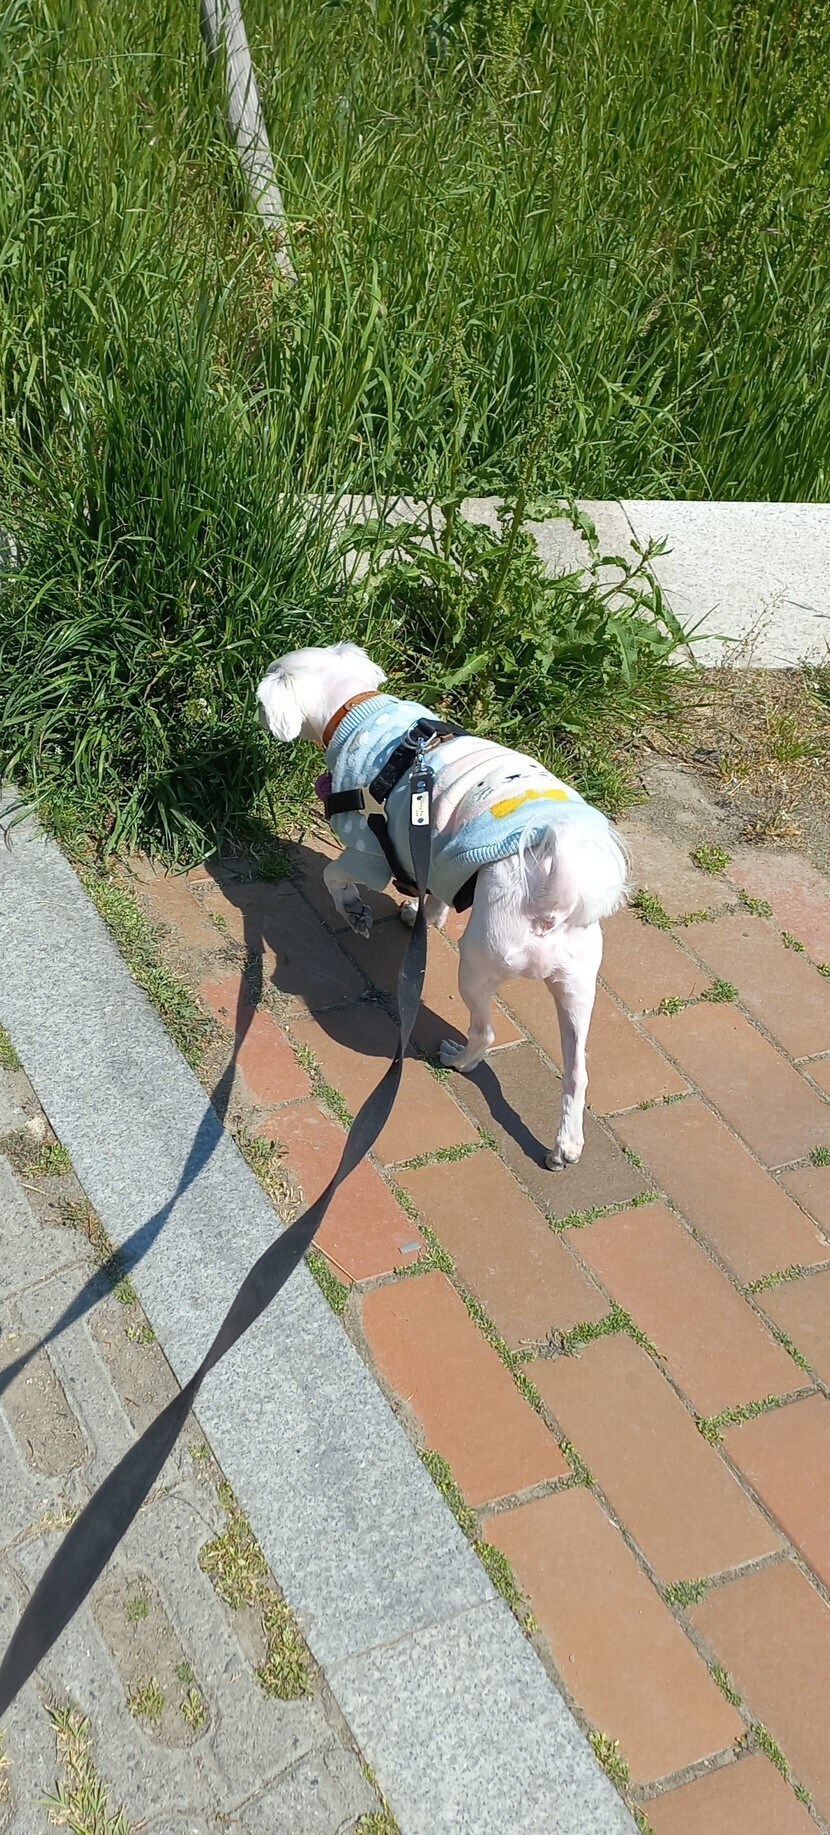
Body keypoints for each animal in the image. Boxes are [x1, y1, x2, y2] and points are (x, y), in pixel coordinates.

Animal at [257, 642, 629, 1168]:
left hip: (479, 965)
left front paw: (355, 911)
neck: (357, 709)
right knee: (577, 1071)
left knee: (486, 1033)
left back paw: (459, 1059)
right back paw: (566, 1145)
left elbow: (335, 876)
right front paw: (423, 916)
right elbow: (435, 891)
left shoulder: (370, 853)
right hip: (578, 987)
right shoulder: (431, 847)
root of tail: (550, 899)